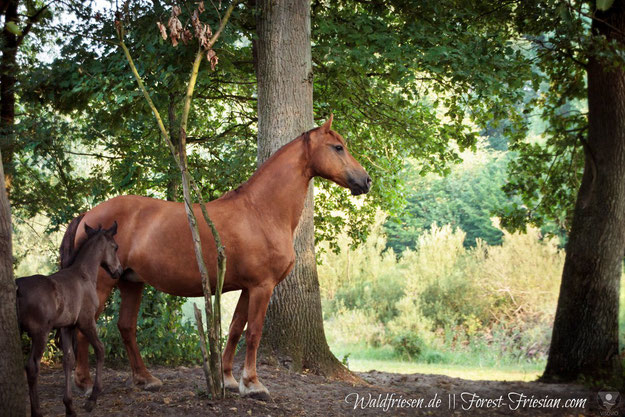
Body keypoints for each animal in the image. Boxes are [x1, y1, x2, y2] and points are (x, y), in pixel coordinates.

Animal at [16, 223, 122, 414]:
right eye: (115, 247)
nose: (119, 270)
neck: (84, 274)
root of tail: (18, 288)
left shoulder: (66, 327)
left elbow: (68, 360)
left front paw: (69, 406)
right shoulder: (87, 322)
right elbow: (100, 349)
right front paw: (92, 399)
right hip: (40, 333)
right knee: (32, 367)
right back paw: (37, 411)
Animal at [60, 115, 368, 398]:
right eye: (338, 147)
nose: (366, 180)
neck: (261, 211)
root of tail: (88, 216)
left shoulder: (248, 287)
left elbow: (235, 329)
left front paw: (229, 379)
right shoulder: (262, 286)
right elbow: (253, 332)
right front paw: (253, 384)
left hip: (130, 282)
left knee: (126, 327)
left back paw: (145, 379)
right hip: (103, 285)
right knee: (84, 329)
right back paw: (85, 383)